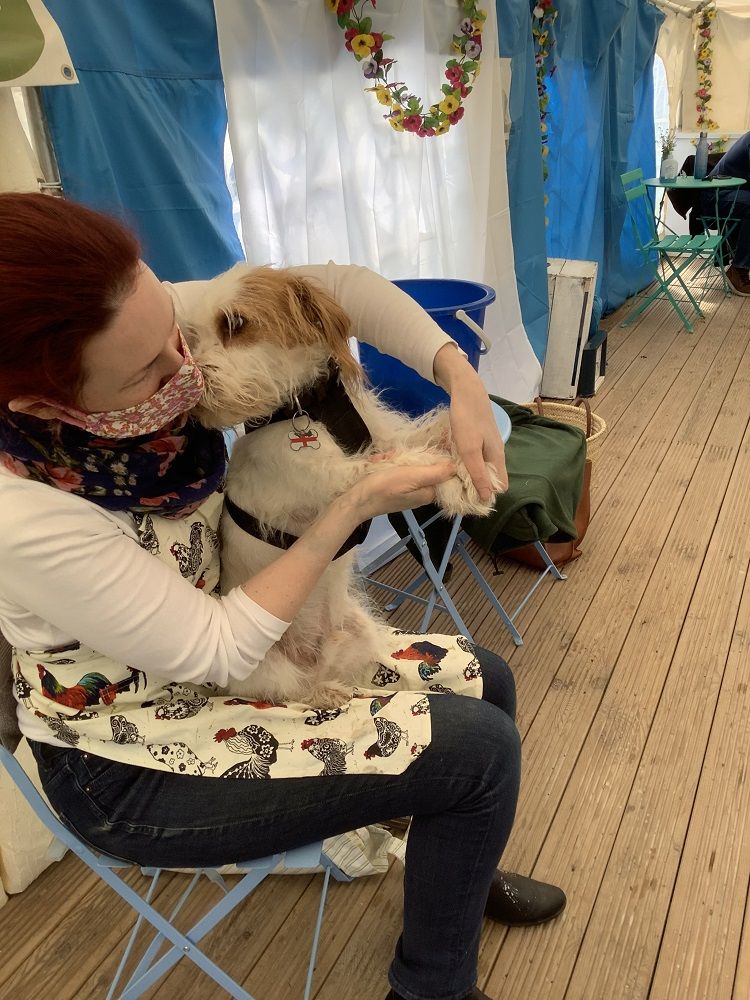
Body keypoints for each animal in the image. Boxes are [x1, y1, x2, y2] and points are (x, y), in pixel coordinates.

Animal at [184, 262, 502, 708]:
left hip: (357, 631)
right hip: (268, 671)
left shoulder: (383, 439)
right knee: (297, 690)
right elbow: (405, 464)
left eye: (236, 324)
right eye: (193, 337)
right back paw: (328, 695)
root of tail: (313, 657)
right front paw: (458, 485)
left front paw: (469, 463)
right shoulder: (340, 478)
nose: (196, 393)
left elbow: (430, 434)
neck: (307, 405)